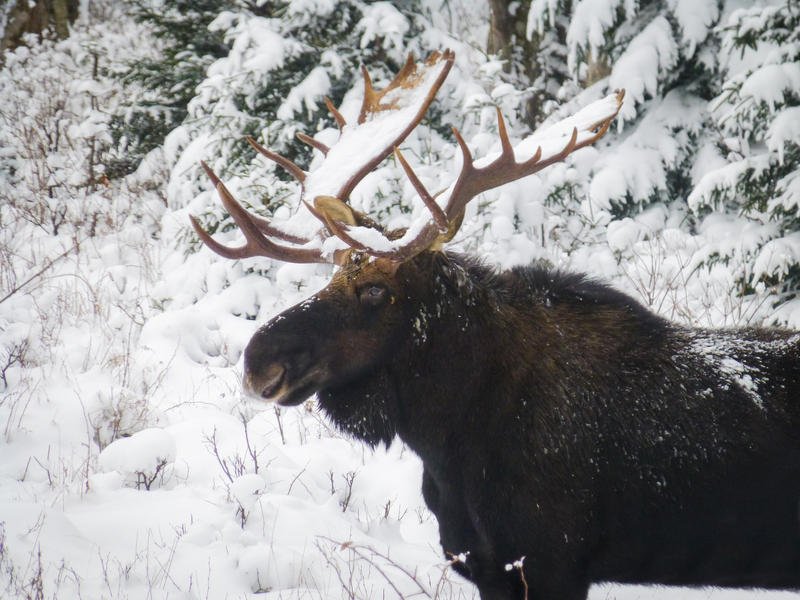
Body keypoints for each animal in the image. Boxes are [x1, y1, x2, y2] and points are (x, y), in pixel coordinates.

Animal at [190, 51, 800, 600]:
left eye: (376, 289)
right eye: (332, 279)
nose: (257, 363)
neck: (449, 436)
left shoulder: (549, 562)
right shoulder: (483, 563)